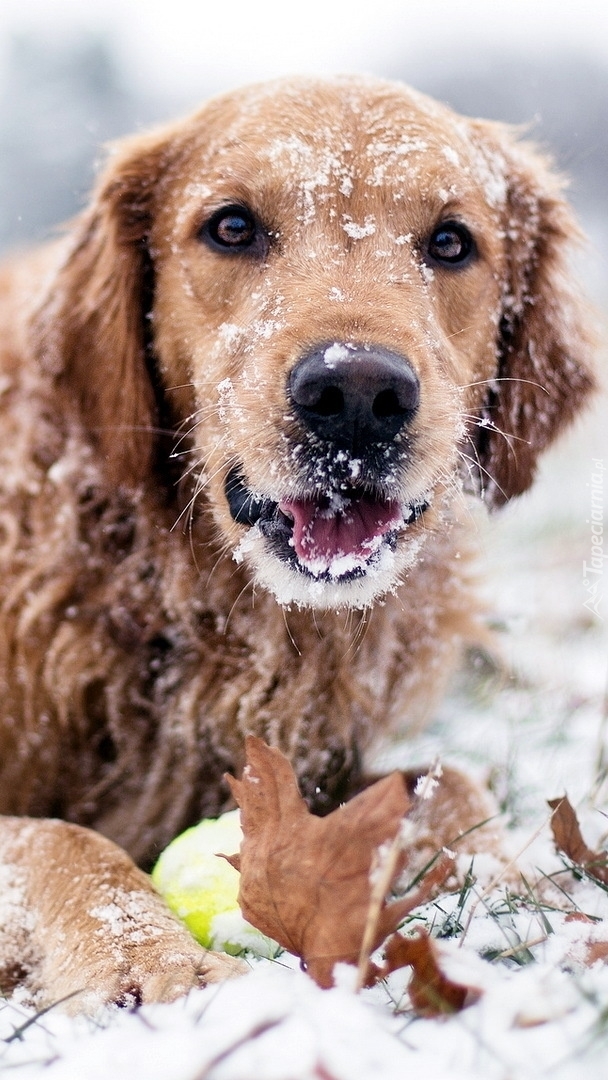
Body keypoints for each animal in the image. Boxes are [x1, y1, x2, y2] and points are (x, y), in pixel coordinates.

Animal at [0, 78, 596, 1010]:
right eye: (232, 227)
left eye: (451, 241)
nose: (356, 393)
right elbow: (55, 837)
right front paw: (147, 956)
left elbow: (450, 783)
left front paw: (509, 888)